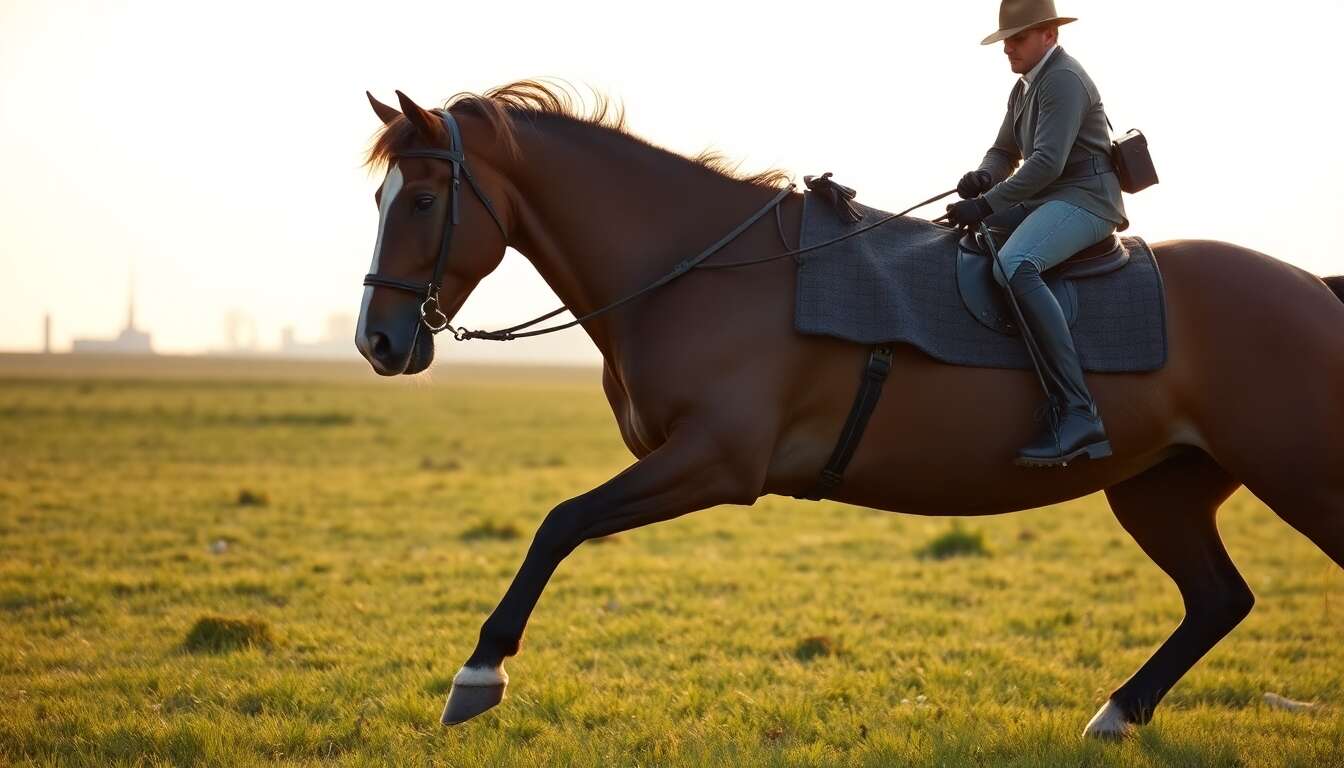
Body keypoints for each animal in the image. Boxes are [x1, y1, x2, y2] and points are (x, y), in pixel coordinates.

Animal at [353, 81, 1344, 739]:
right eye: (379, 197)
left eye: (427, 199)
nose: (378, 341)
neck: (697, 271)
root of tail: (1312, 288)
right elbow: (562, 524)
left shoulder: (714, 463)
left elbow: (560, 522)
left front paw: (478, 671)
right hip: (1158, 491)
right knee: (1218, 599)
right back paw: (1116, 714)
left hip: (1300, 479)